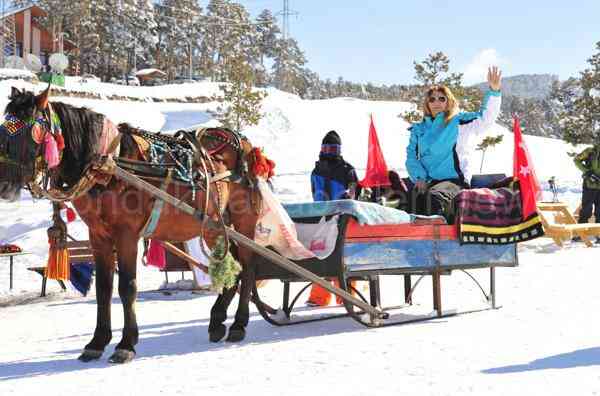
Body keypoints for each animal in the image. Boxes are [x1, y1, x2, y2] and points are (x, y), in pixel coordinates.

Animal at [0, 86, 270, 362]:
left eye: (28, 131)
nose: (3, 185)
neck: (107, 167)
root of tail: (244, 145)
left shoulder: (127, 234)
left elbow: (127, 286)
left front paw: (126, 344)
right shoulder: (98, 235)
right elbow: (104, 287)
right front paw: (97, 342)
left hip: (243, 222)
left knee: (248, 267)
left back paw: (238, 324)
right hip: (215, 226)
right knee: (234, 267)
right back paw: (217, 321)